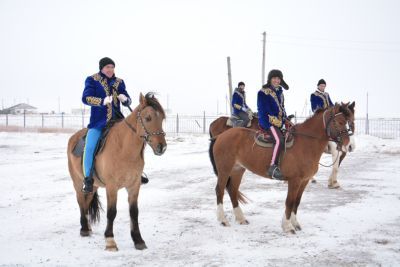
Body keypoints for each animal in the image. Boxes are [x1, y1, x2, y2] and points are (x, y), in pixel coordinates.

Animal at [67, 92, 166, 251]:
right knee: (80, 201)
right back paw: (84, 229)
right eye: (148, 118)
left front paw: (138, 239)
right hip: (77, 182)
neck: (124, 149)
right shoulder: (112, 187)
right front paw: (110, 241)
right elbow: (111, 212)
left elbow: (134, 212)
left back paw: (87, 226)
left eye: (162, 118)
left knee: (86, 201)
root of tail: (73, 137)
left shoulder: (134, 185)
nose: (161, 147)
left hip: (93, 185)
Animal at [208, 102, 354, 234]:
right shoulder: (295, 180)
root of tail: (220, 136)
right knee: (219, 190)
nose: (348, 145)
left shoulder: (304, 181)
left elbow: (297, 202)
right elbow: (289, 202)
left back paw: (240, 218)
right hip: (224, 169)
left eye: (349, 121)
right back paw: (223, 220)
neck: (305, 144)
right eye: (340, 122)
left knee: (232, 190)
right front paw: (288, 226)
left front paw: (295, 223)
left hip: (238, 170)